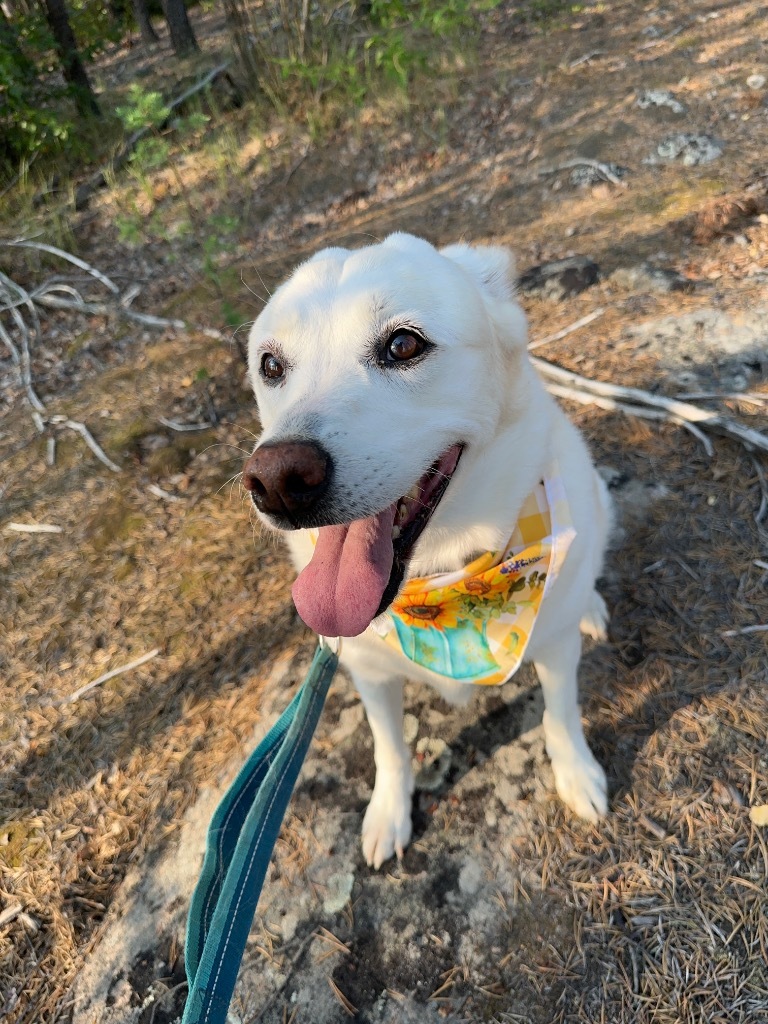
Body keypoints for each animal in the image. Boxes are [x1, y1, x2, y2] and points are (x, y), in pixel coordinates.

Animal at [243, 235, 610, 868]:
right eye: (271, 365)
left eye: (403, 344)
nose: (277, 480)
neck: (446, 575)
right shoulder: (368, 673)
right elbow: (389, 747)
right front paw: (390, 812)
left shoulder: (556, 652)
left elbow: (561, 715)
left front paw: (577, 775)